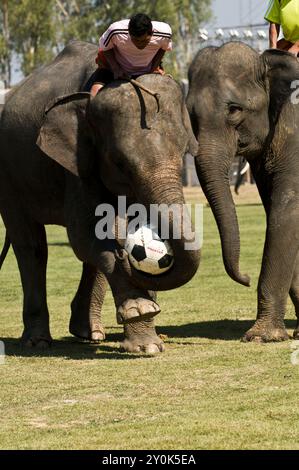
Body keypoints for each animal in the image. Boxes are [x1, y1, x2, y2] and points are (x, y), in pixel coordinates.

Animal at [0, 41, 202, 352]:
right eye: (120, 163)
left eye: (182, 155)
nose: (130, 255)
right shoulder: (74, 163)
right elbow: (84, 235)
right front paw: (145, 330)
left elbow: (107, 232)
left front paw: (147, 337)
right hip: (10, 177)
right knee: (31, 245)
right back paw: (37, 341)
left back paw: (90, 333)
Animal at [188, 42, 299, 344]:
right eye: (190, 115)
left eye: (234, 110)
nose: (246, 277)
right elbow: (275, 207)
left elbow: (286, 210)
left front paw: (261, 337)